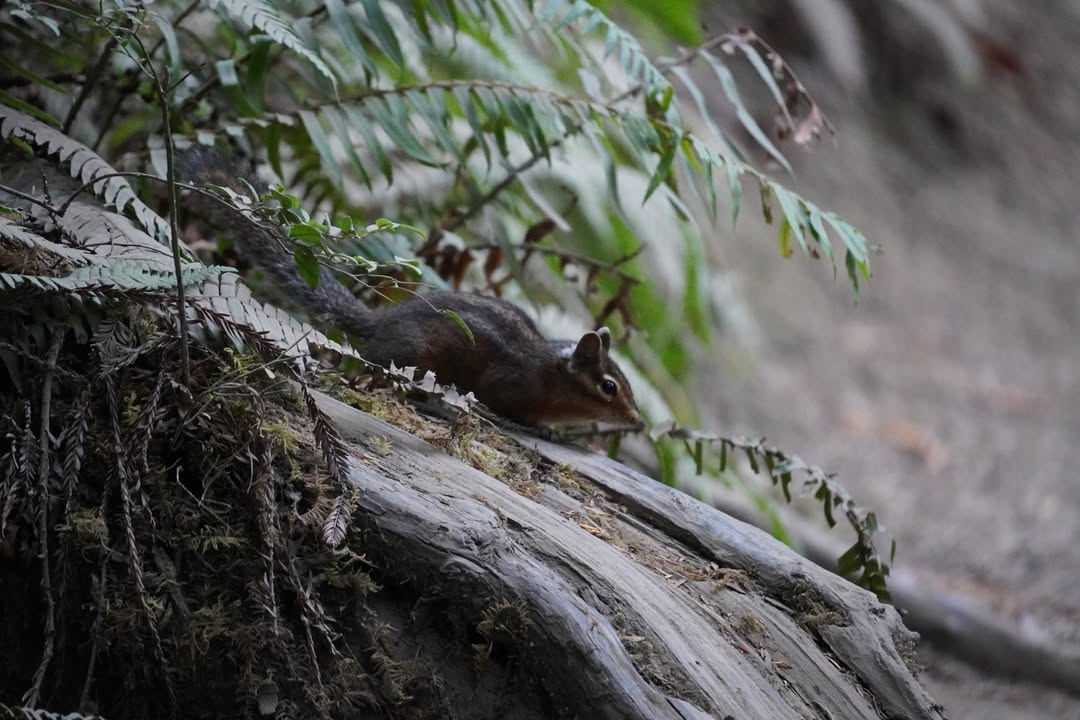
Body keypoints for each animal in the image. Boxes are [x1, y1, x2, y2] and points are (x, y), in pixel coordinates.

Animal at [178, 147, 642, 427]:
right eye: (609, 386)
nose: (637, 422)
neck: (548, 372)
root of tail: (380, 321)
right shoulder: (508, 384)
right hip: (411, 354)